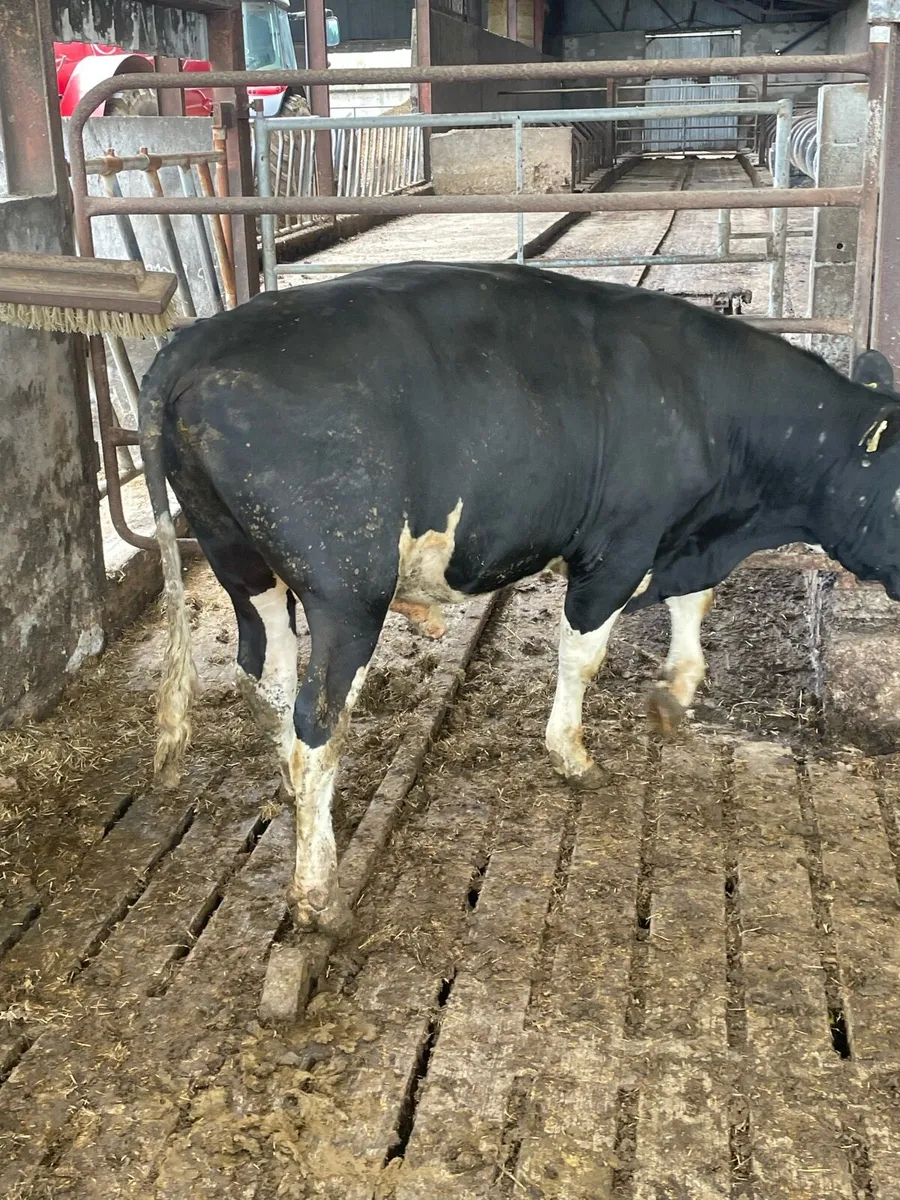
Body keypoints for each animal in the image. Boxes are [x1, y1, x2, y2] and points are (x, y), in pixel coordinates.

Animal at [139, 261, 900, 936]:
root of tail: (195, 341)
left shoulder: (683, 536)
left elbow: (694, 607)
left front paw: (674, 694)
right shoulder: (617, 549)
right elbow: (583, 655)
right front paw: (572, 754)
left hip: (241, 562)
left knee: (264, 676)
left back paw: (299, 808)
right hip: (348, 591)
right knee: (314, 724)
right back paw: (318, 895)